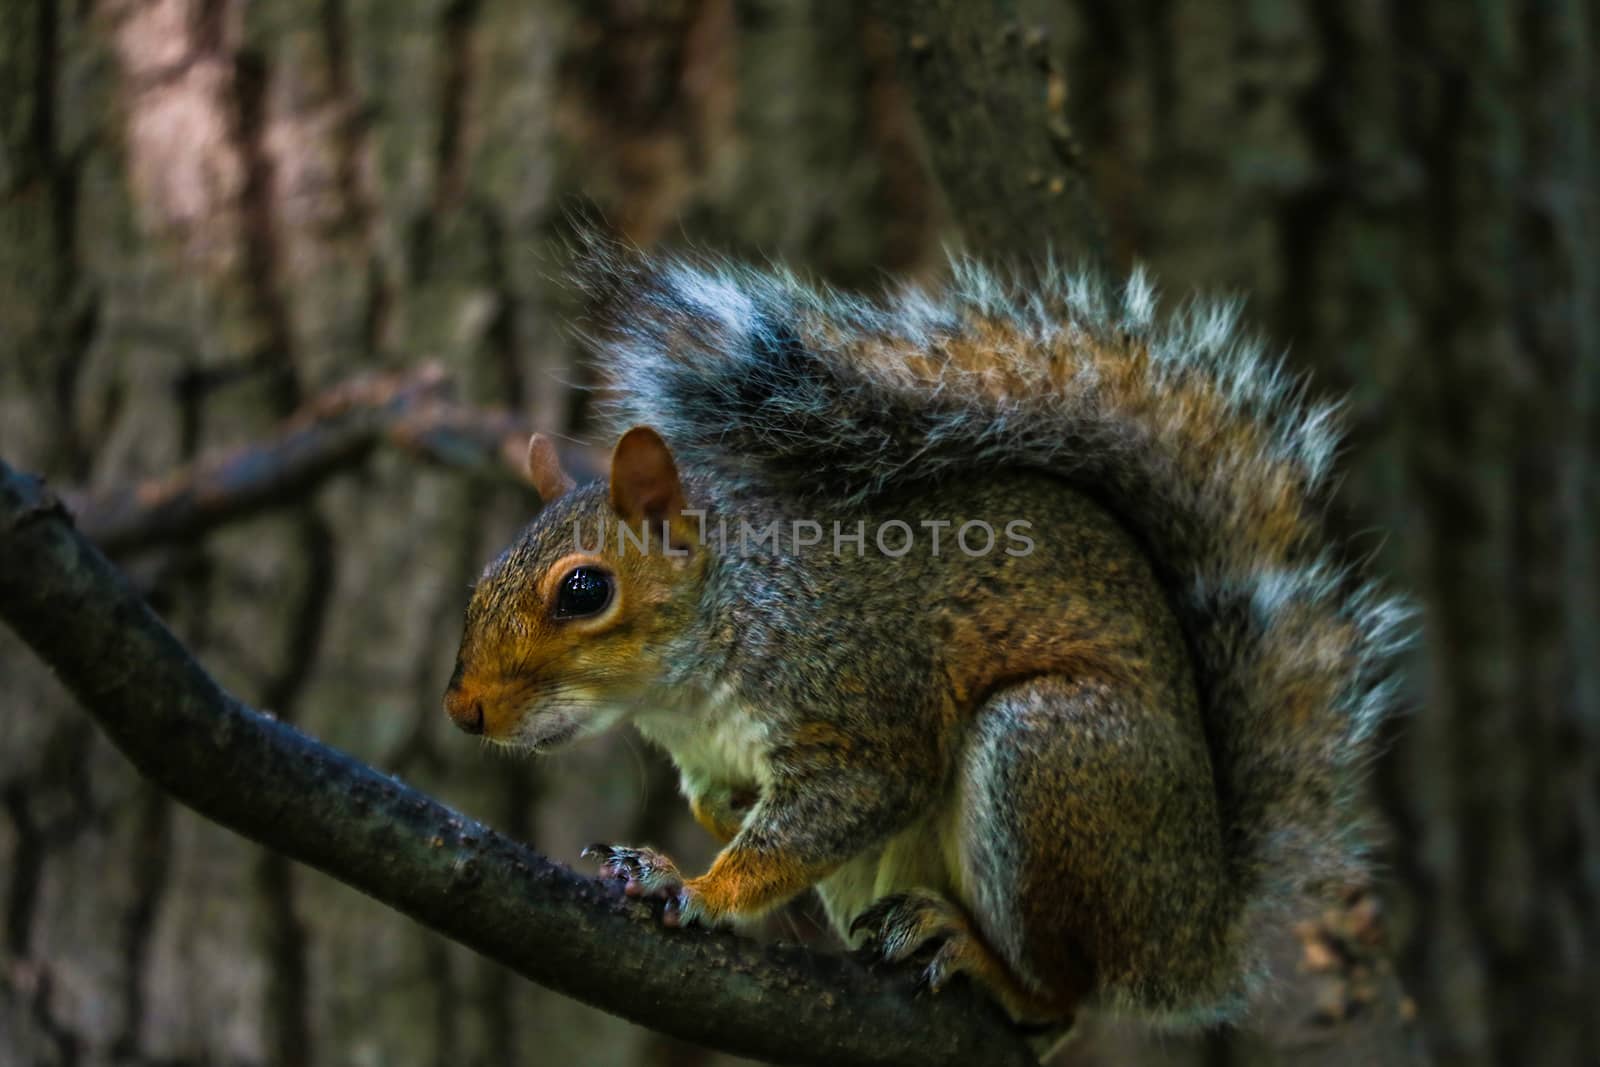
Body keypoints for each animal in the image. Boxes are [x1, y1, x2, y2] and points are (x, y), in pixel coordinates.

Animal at [441, 247, 1414, 1036]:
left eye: (585, 590)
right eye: (482, 577)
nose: (463, 710)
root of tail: (1194, 930)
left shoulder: (858, 697)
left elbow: (844, 802)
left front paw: (698, 887)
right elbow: (734, 805)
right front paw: (681, 843)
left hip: (1050, 759)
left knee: (1063, 997)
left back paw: (986, 959)